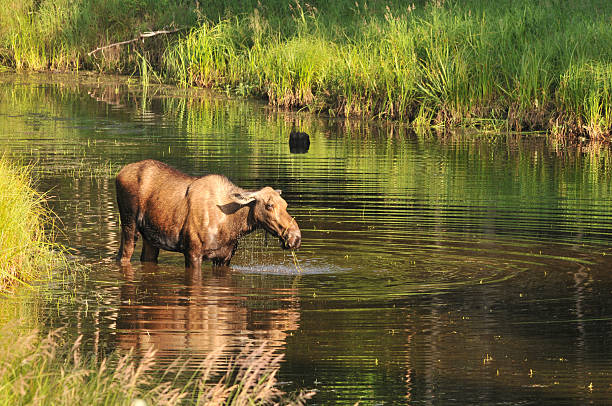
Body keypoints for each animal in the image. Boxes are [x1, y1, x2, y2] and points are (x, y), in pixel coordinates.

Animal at [115, 159, 302, 270]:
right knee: (124, 255)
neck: (233, 226)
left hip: (151, 237)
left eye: (285, 204)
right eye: (269, 205)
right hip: (129, 223)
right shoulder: (193, 253)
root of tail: (119, 173)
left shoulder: (224, 258)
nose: (296, 237)